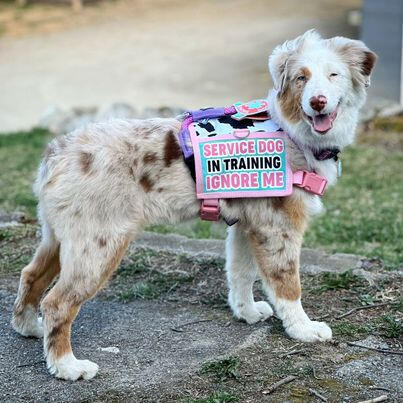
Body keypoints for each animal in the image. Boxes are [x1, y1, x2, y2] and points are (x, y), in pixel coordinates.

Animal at [11, 30, 378, 380]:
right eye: (301, 78)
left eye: (334, 75)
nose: (318, 102)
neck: (290, 131)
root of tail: (58, 151)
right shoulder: (279, 227)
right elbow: (288, 285)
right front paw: (303, 329)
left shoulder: (248, 224)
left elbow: (241, 273)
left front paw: (246, 313)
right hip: (98, 245)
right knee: (58, 302)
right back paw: (66, 366)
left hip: (60, 236)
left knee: (31, 275)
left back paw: (29, 327)